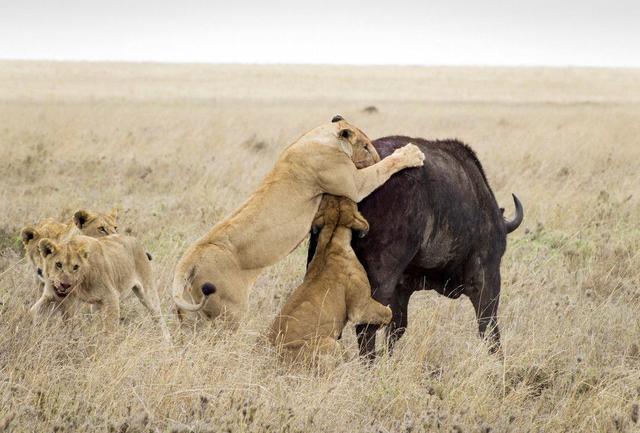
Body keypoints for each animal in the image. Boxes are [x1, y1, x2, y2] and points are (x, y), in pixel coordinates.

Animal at [31, 233, 170, 340]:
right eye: (58, 264)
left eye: (76, 267)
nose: (65, 285)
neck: (79, 283)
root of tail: (136, 241)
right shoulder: (54, 297)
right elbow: (33, 311)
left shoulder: (111, 297)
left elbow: (110, 330)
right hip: (96, 305)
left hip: (148, 293)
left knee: (159, 319)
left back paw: (167, 344)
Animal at [171, 116, 424, 322]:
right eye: (365, 146)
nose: (376, 152)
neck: (321, 138)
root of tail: (189, 261)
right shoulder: (354, 184)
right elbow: (383, 167)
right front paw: (411, 153)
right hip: (229, 311)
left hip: (190, 317)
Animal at [308, 135, 524, 358]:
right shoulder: (486, 273)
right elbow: (488, 325)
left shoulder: (402, 286)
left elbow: (397, 327)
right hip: (380, 277)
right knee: (365, 326)